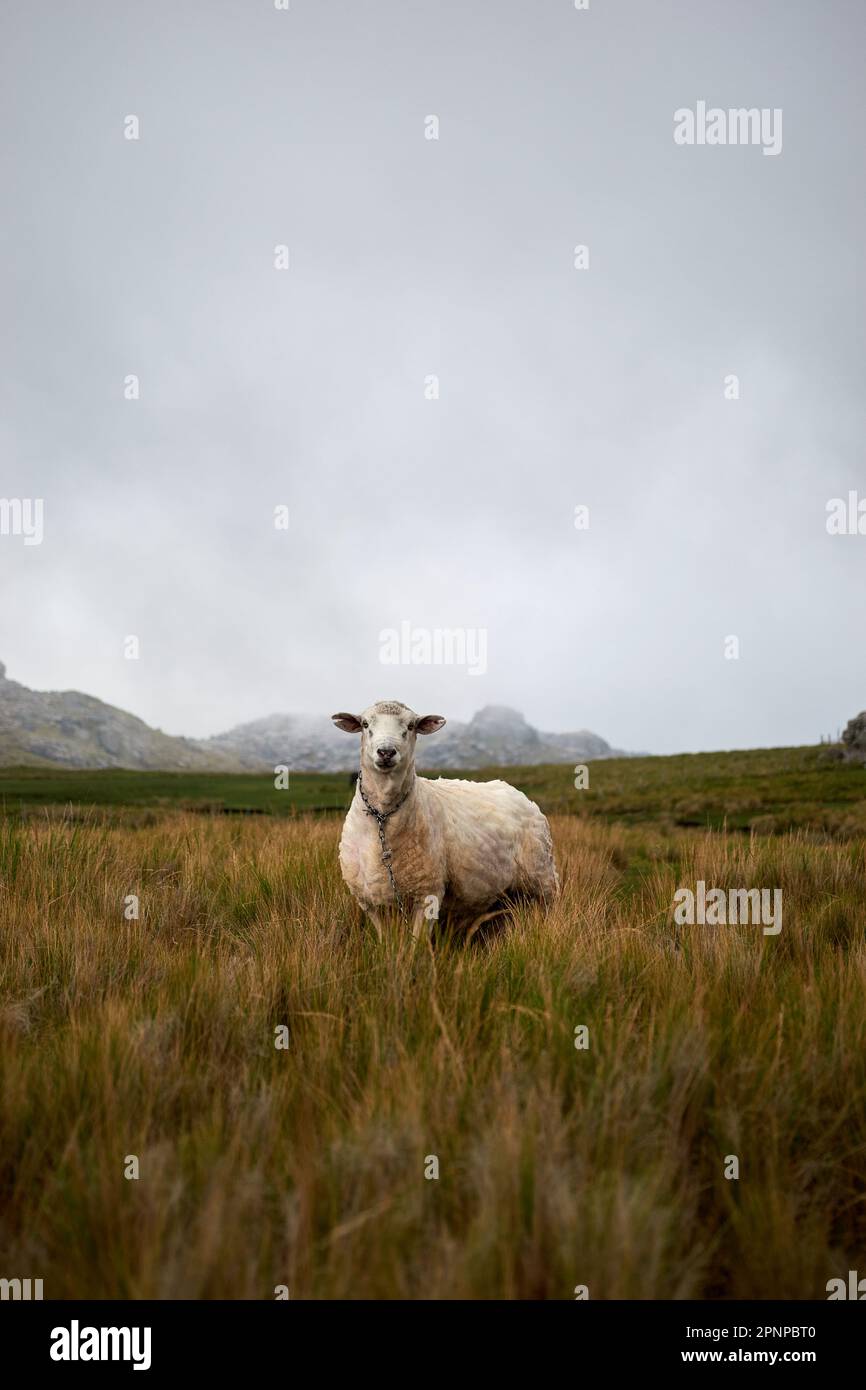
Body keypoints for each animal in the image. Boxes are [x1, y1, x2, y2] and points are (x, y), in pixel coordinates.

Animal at [331, 700, 559, 940]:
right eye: (365, 724)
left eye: (411, 726)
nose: (386, 752)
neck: (382, 817)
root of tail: (517, 792)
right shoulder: (369, 902)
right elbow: (385, 940)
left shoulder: (427, 893)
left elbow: (417, 943)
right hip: (502, 895)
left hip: (542, 880)